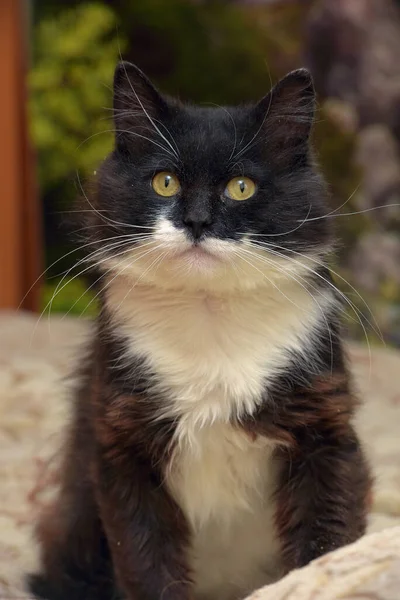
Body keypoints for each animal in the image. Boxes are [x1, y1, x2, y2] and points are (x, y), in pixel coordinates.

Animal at [28, 61, 372, 600]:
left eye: (241, 188)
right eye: (165, 182)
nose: (196, 221)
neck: (210, 315)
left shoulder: (324, 426)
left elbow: (326, 539)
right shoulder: (120, 444)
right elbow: (145, 559)